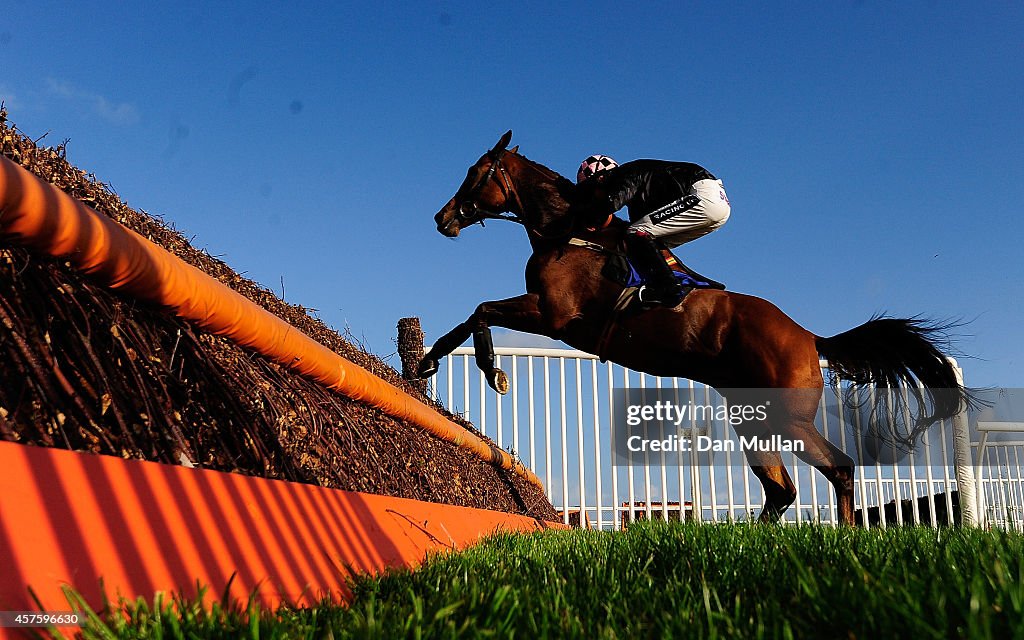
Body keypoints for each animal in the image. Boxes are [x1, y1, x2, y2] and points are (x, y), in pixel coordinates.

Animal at [415, 130, 966, 524]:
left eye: (475, 173)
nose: (443, 218)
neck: (566, 232)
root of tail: (810, 337)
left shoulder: (551, 315)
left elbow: (481, 311)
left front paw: (489, 368)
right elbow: (471, 316)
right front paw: (427, 360)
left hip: (788, 419)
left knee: (838, 468)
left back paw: (845, 537)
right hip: (753, 420)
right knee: (781, 489)